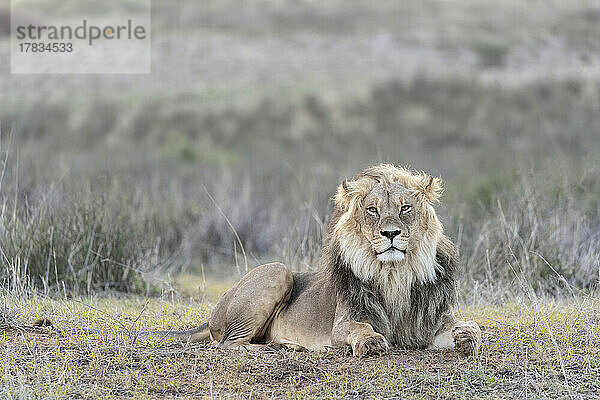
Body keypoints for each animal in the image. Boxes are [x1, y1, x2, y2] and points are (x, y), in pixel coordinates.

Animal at [179, 162, 482, 356]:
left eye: (405, 208)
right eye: (373, 210)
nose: (391, 233)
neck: (395, 274)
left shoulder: (432, 322)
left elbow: (473, 326)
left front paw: (466, 337)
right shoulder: (345, 322)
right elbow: (359, 328)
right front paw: (371, 341)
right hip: (278, 270)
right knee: (228, 344)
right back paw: (278, 348)